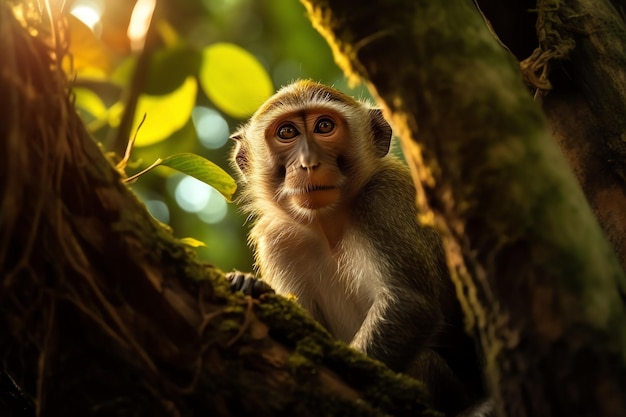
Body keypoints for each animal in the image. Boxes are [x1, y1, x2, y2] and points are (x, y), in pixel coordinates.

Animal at [227, 79, 486, 414]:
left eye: (324, 126)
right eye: (287, 132)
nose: (308, 163)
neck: (329, 225)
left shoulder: (384, 197)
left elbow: (410, 305)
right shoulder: (278, 238)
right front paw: (250, 285)